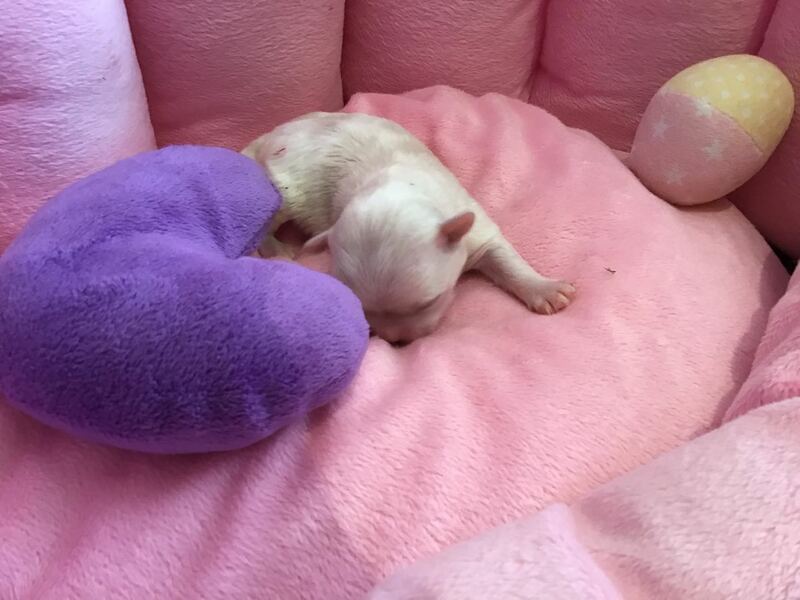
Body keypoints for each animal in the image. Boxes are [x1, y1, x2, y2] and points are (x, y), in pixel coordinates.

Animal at [242, 112, 575, 343]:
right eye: (361, 307)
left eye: (429, 302)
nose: (396, 342)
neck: (395, 183)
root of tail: (266, 137)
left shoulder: (474, 227)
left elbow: (504, 258)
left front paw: (544, 288)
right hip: (282, 188)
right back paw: (276, 248)